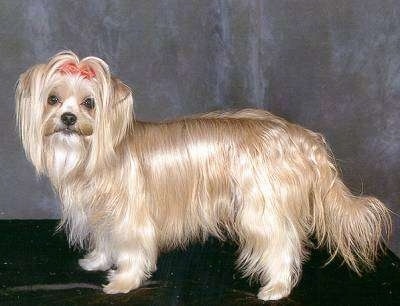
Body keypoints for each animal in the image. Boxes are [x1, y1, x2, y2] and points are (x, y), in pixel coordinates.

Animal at [15, 50, 390, 302]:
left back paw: (276, 287)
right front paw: (97, 261)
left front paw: (123, 282)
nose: (67, 118)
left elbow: (133, 250)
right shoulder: (103, 215)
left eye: (89, 103)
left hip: (262, 209)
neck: (97, 153)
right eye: (53, 99)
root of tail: (301, 137)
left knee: (282, 244)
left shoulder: (133, 218)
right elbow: (107, 241)